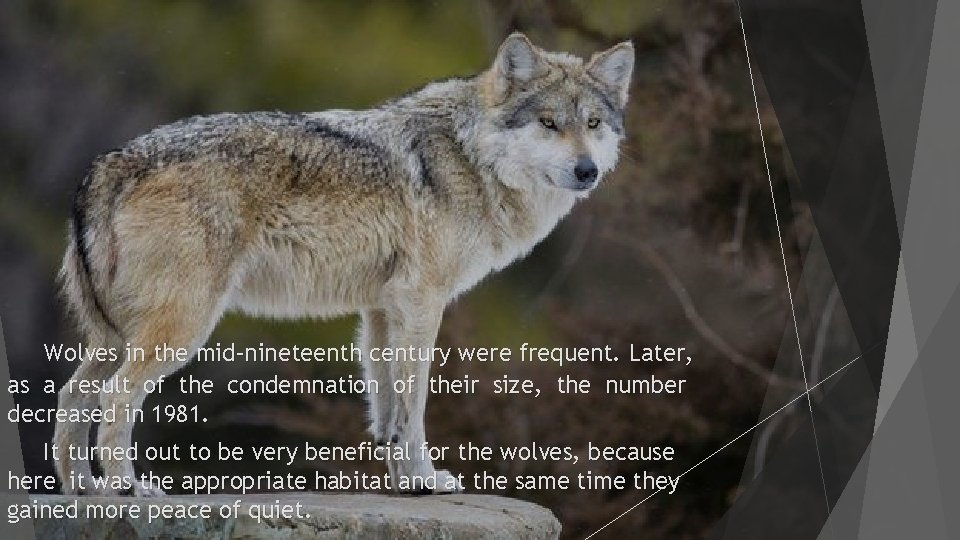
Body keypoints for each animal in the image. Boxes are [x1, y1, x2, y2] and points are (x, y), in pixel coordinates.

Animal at [55, 33, 634, 496]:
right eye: (548, 123)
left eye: (592, 124)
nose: (587, 171)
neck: (471, 157)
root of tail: (111, 161)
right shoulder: (421, 304)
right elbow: (413, 407)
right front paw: (426, 480)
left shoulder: (381, 310)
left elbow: (387, 411)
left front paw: (404, 483)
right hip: (181, 331)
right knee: (114, 397)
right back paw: (127, 488)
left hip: (114, 337)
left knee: (71, 396)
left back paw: (84, 490)